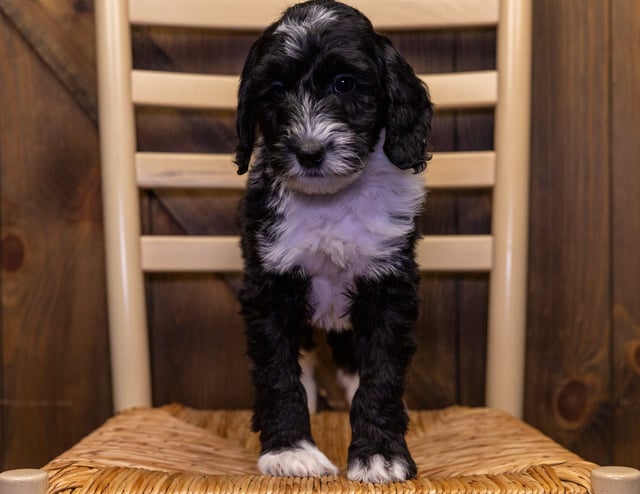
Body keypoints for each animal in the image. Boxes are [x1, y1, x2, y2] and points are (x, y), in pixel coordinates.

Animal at [236, 0, 436, 486]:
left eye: (344, 83)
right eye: (275, 90)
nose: (309, 152)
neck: (330, 200)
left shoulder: (388, 286)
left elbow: (380, 374)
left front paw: (380, 453)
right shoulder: (269, 287)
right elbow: (278, 372)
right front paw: (289, 450)